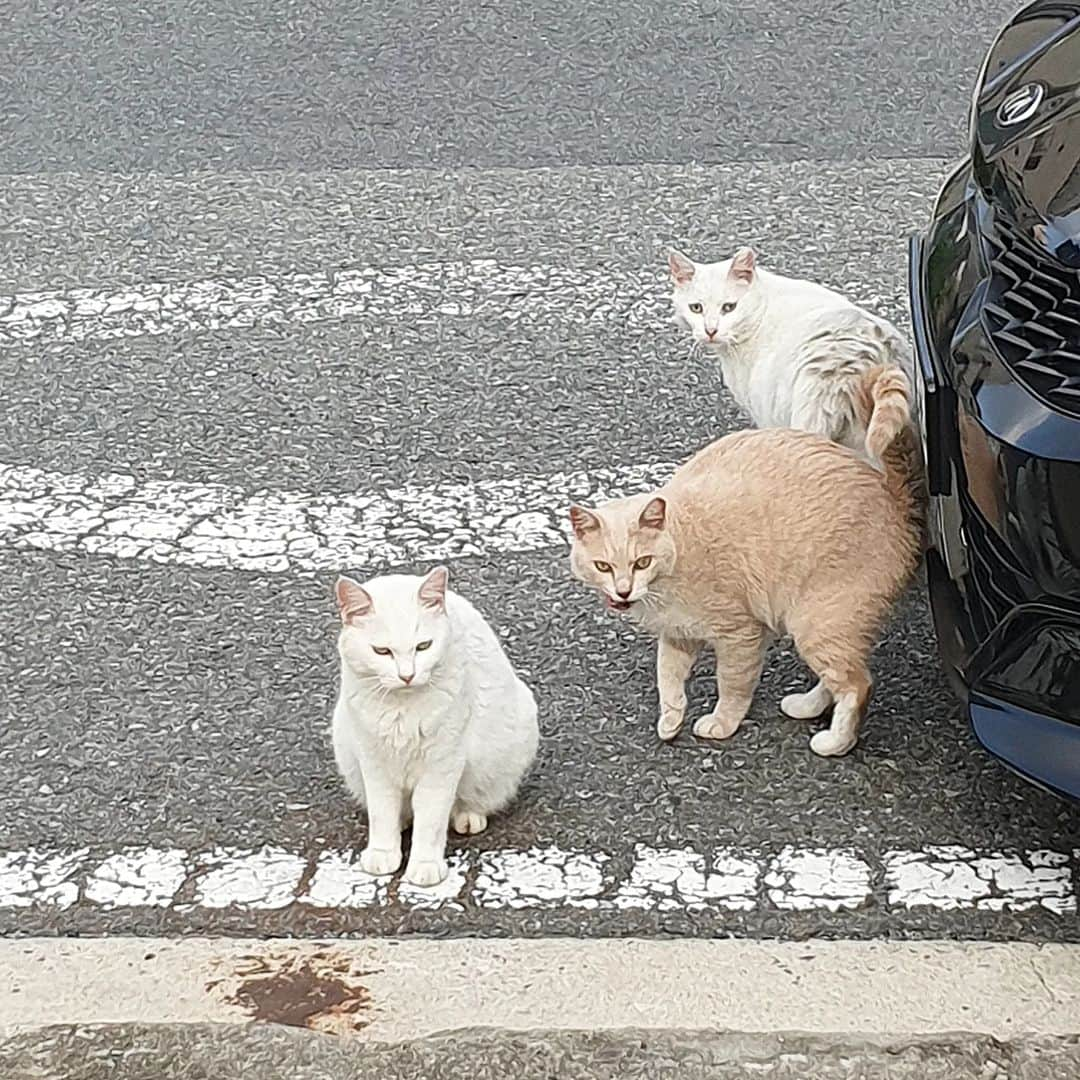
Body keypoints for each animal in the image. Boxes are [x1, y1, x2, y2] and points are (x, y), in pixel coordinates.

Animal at [330, 565, 537, 885]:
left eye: (423, 647)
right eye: (382, 651)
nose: (407, 675)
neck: (402, 709)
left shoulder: (442, 764)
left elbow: (431, 819)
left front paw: (425, 866)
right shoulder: (374, 762)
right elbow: (381, 813)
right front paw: (383, 853)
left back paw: (467, 816)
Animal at [565, 399, 920, 760]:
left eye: (642, 562)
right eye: (603, 566)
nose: (623, 591)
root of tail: (894, 500)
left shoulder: (740, 634)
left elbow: (732, 685)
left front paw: (722, 723)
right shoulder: (678, 634)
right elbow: (667, 678)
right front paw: (671, 719)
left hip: (817, 622)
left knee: (857, 685)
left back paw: (835, 742)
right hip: (825, 627)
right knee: (839, 676)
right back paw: (807, 706)